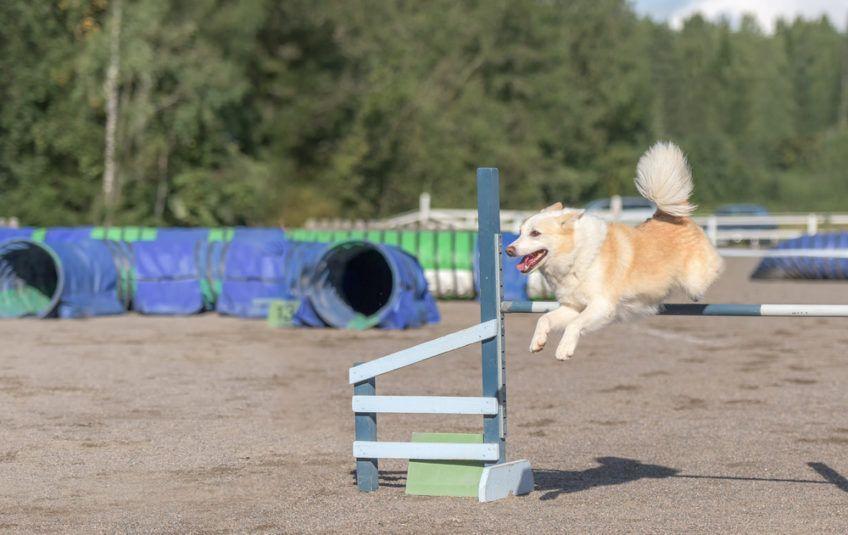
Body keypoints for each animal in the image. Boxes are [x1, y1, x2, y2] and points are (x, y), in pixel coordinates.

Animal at [504, 141, 724, 360]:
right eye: (520, 232)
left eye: (535, 233)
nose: (508, 250)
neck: (575, 255)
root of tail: (672, 216)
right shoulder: (572, 307)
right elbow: (545, 319)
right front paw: (538, 342)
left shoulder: (601, 305)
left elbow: (574, 325)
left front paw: (563, 350)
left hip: (694, 281)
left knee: (714, 272)